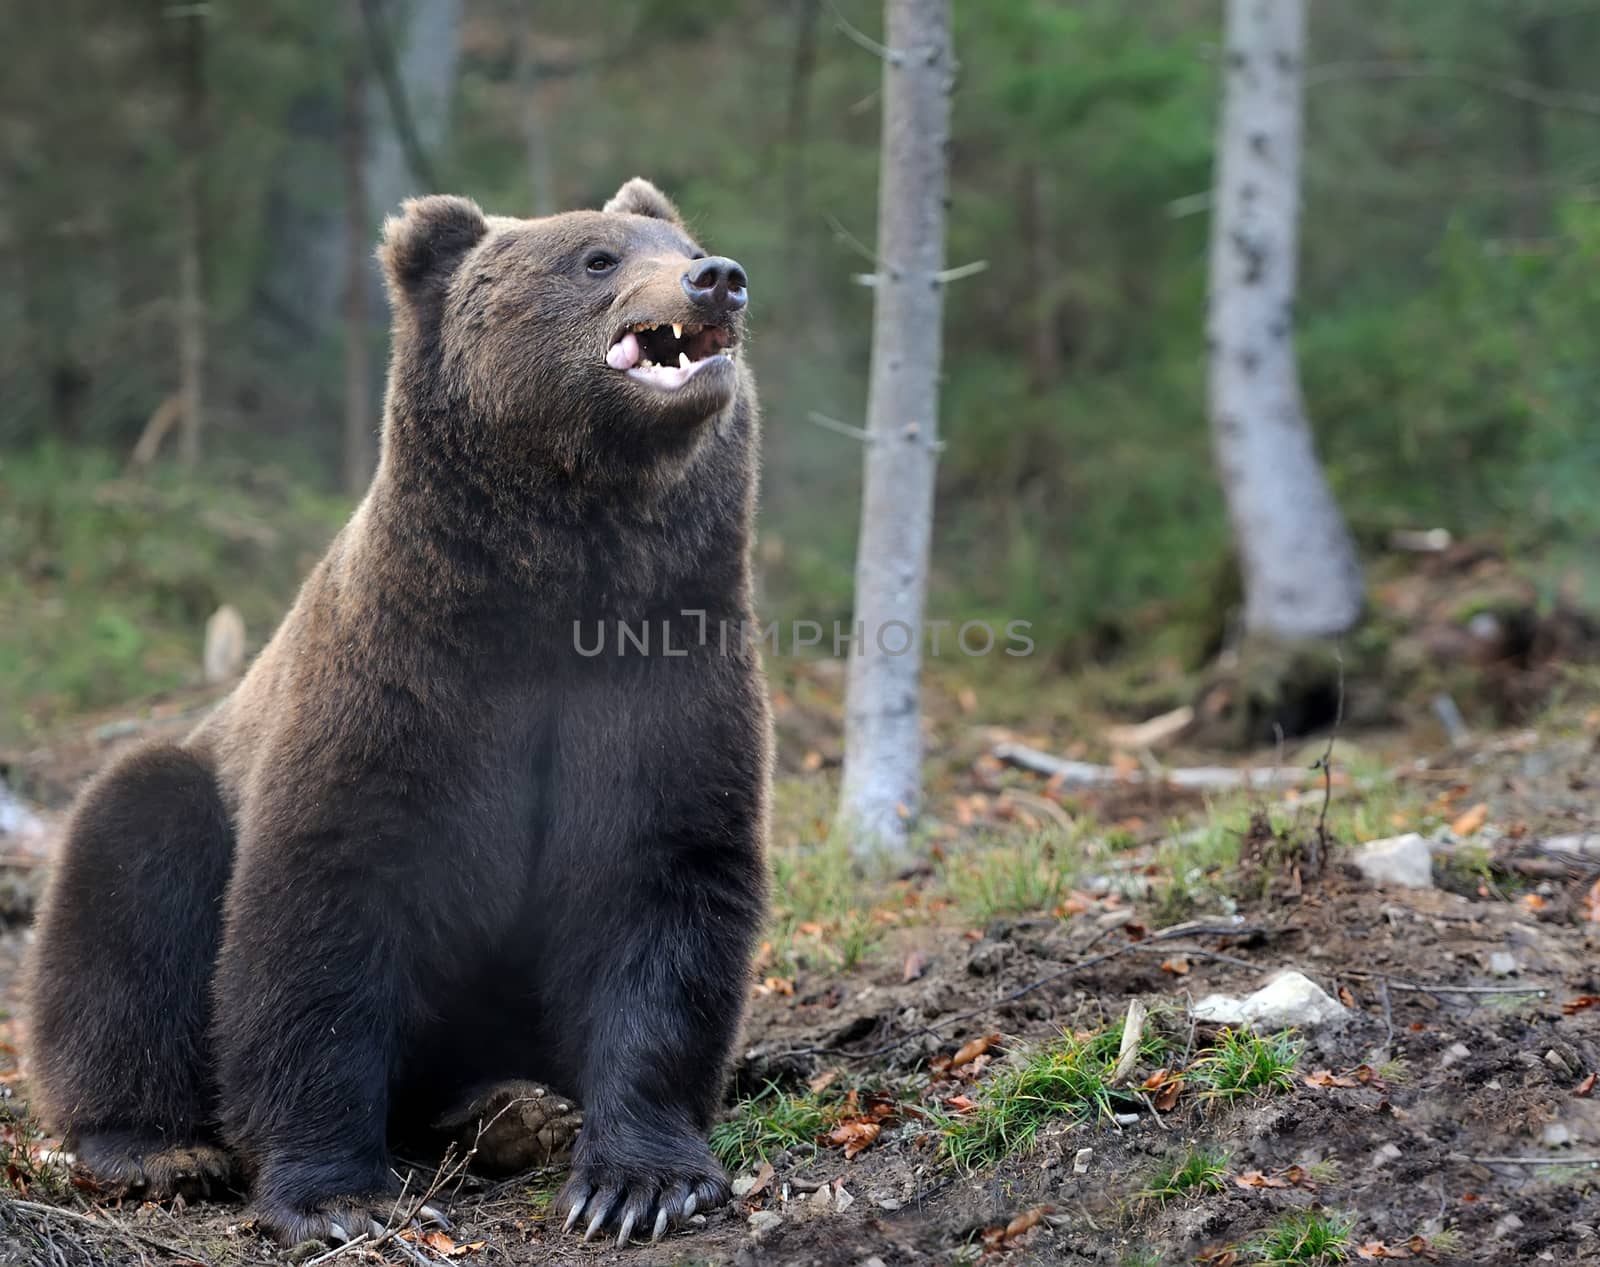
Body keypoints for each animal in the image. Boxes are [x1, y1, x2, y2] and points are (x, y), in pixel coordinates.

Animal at [23, 175, 774, 1247]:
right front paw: (339, 1194)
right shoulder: (401, 682)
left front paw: (640, 1182)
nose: (718, 276)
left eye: (678, 241)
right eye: (597, 257)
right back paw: (158, 1146)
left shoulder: (665, 671)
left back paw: (510, 1107)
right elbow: (325, 910)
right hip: (184, 789)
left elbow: (663, 889)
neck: (563, 582)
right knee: (132, 876)